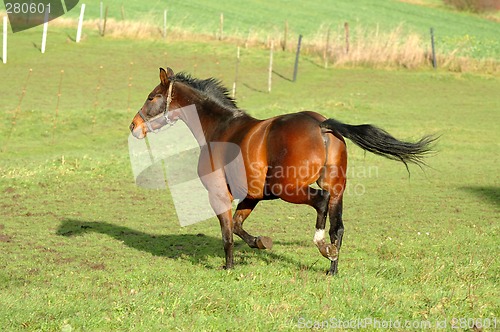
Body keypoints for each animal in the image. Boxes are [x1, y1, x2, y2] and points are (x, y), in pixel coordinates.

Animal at [130, 67, 438, 274]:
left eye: (152, 97)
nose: (134, 126)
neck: (219, 128)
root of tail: (322, 125)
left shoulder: (218, 193)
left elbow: (228, 232)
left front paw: (229, 267)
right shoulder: (252, 195)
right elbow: (239, 226)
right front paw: (261, 242)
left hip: (289, 189)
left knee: (320, 203)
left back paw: (321, 246)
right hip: (335, 188)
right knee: (337, 227)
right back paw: (331, 267)